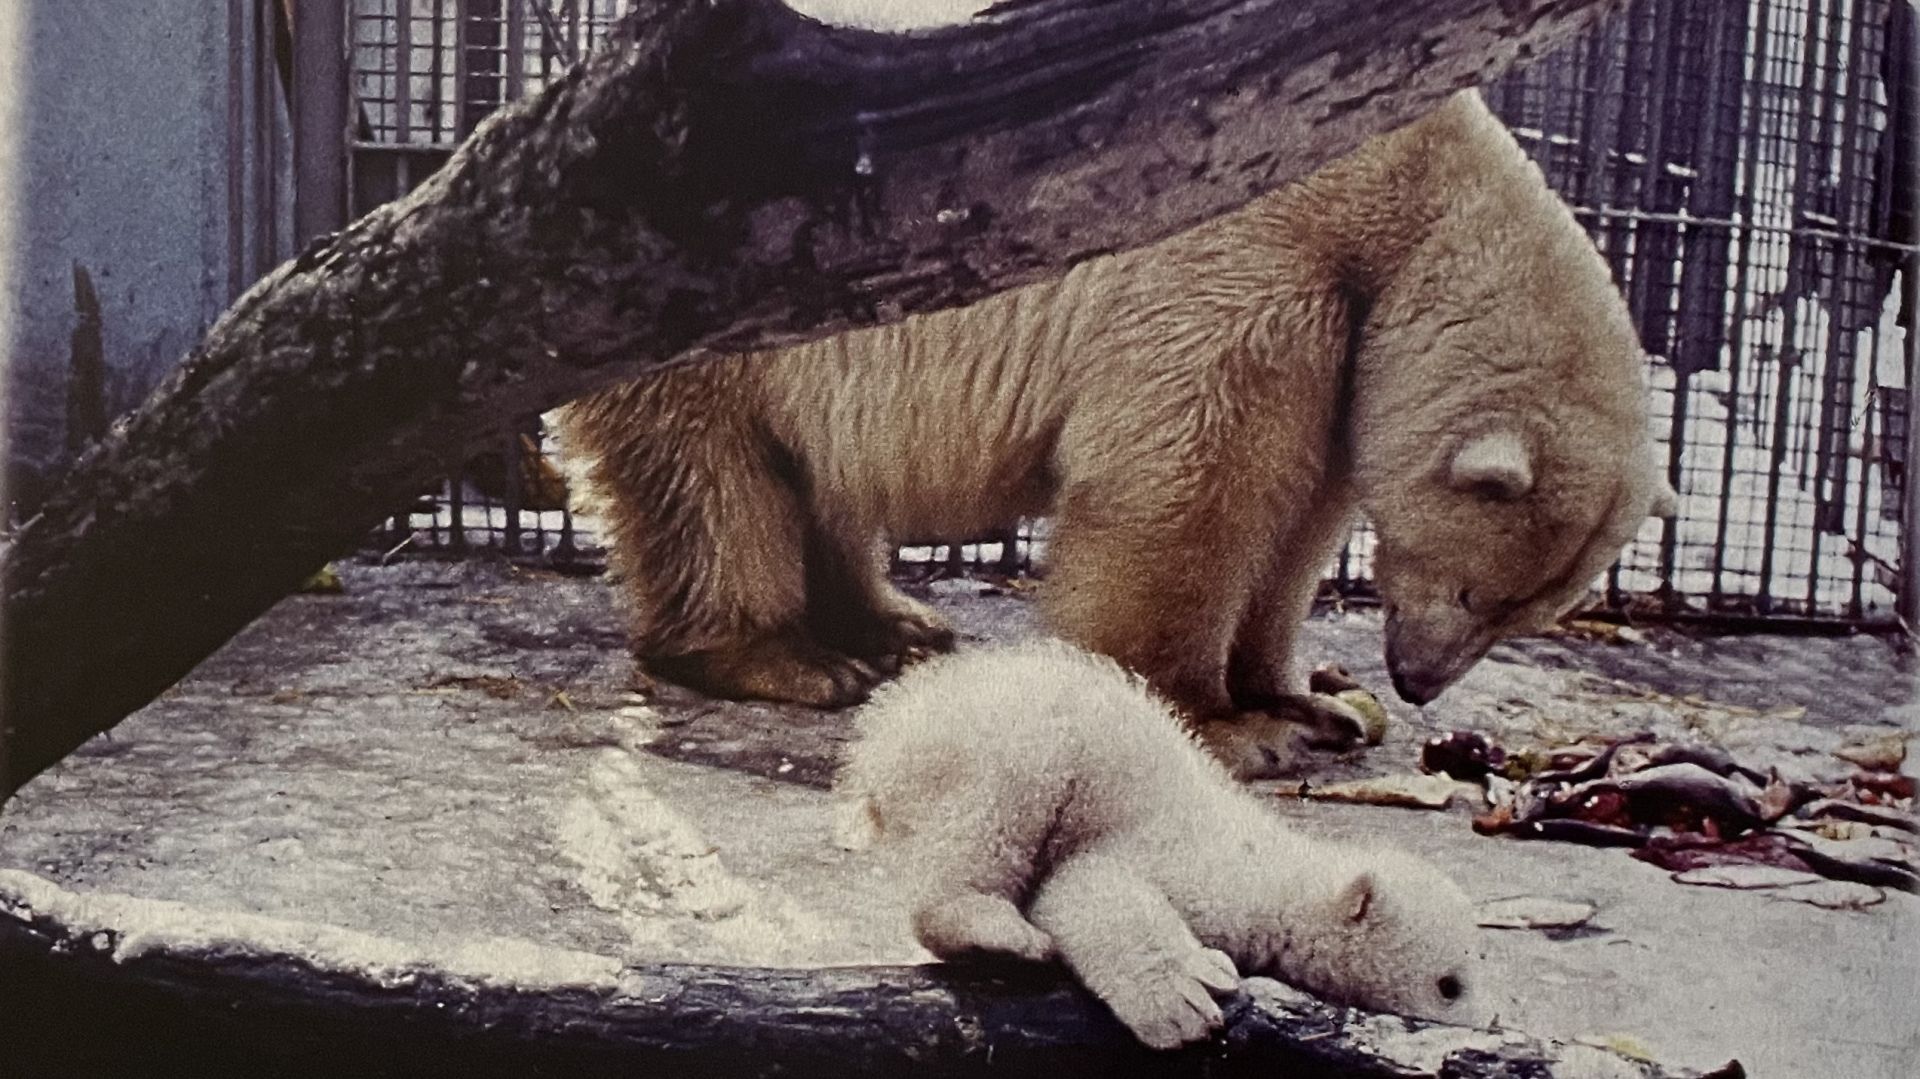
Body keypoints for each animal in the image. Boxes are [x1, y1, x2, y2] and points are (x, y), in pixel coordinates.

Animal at [552, 88, 1666, 767]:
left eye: (1526, 612)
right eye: (1480, 590)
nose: (1417, 681)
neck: (1406, 192)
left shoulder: (1345, 346)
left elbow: (1299, 522)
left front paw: (1313, 702)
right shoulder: (1253, 267)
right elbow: (1185, 487)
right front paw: (1225, 726)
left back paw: (895, 623)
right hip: (708, 315)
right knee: (713, 487)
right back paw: (792, 658)